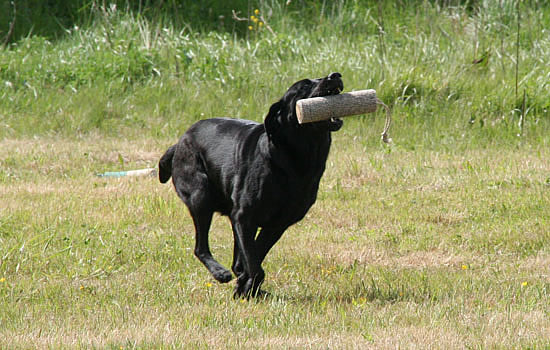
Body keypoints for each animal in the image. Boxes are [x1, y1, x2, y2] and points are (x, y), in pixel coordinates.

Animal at [157, 72, 344, 296]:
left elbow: (254, 255)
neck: (296, 159)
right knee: (200, 247)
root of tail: (179, 142)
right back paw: (220, 273)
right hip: (200, 195)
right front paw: (245, 286)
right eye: (304, 86)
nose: (335, 75)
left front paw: (246, 286)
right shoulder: (244, 216)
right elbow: (254, 264)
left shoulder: (277, 224)